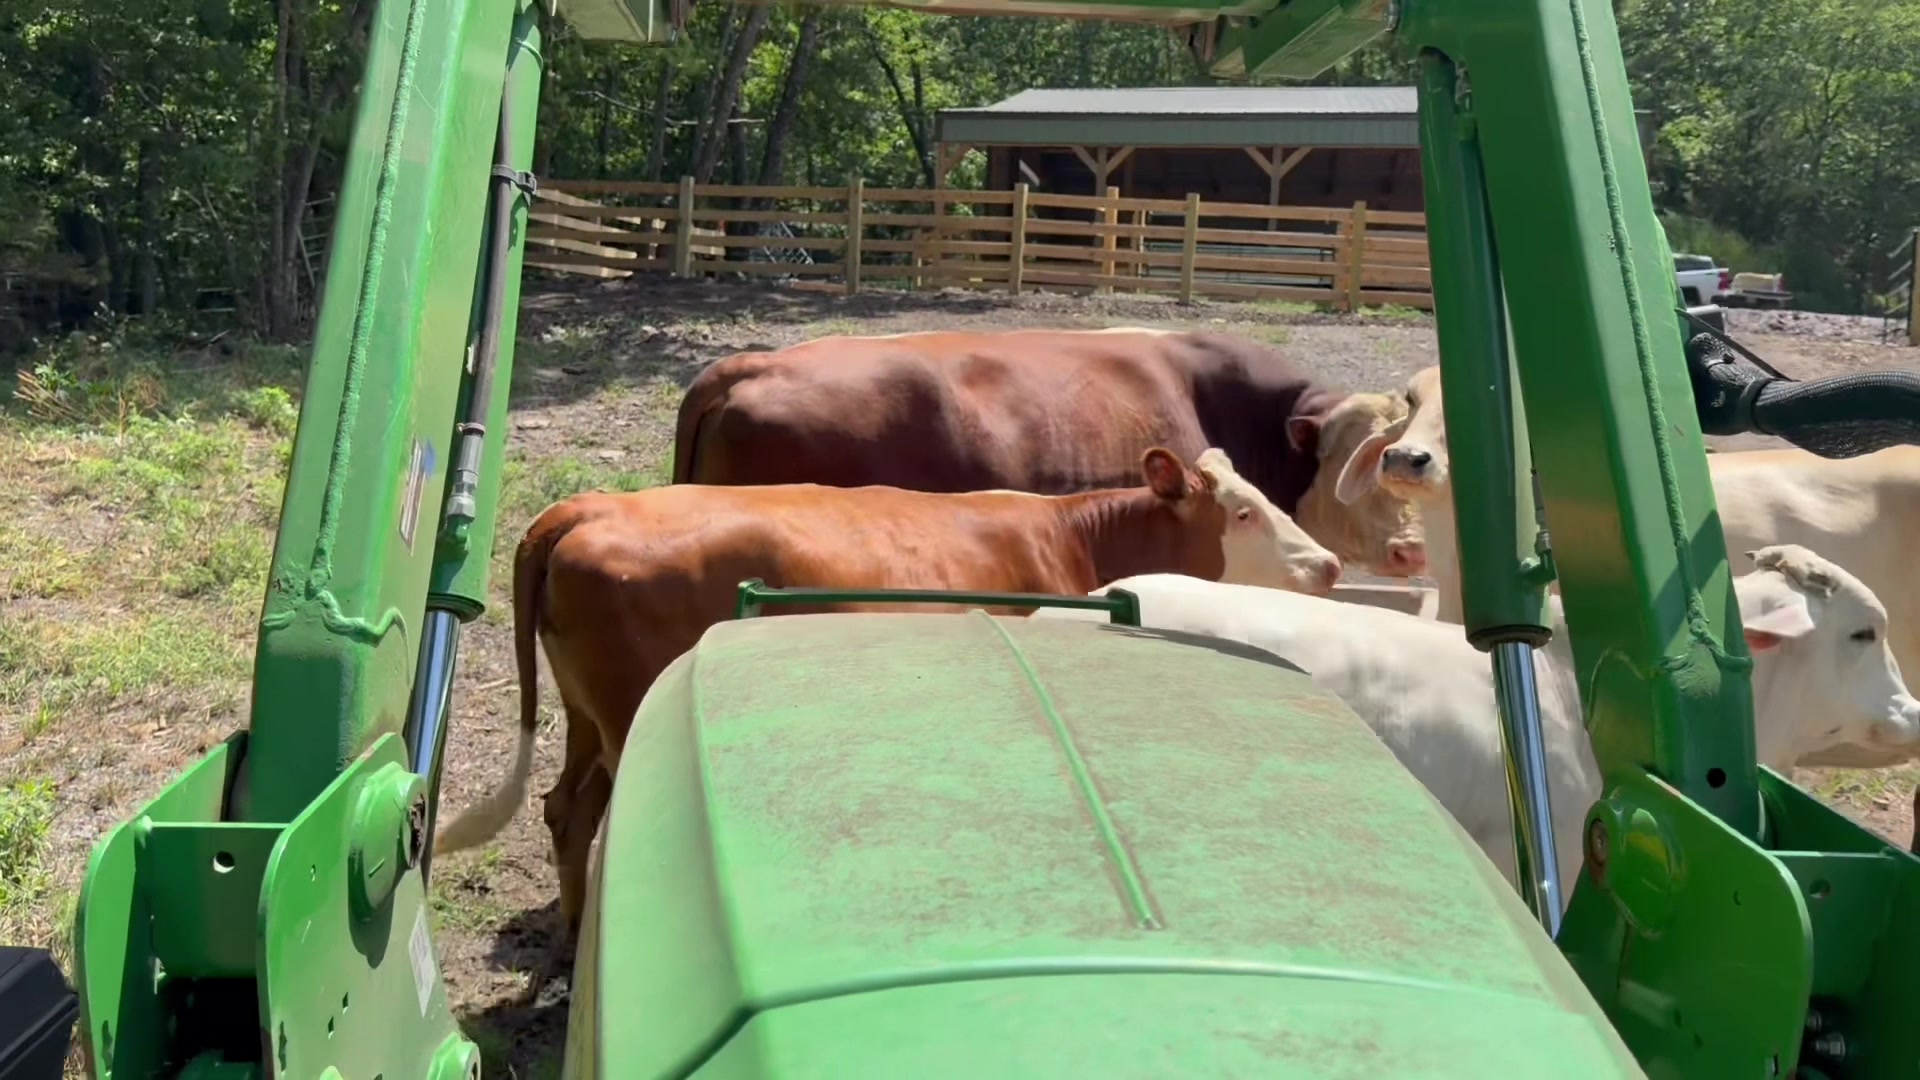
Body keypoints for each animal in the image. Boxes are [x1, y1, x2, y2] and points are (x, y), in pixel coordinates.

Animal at [432, 446, 1340, 968]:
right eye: (1244, 510)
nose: (1329, 565)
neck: (1071, 537)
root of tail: (588, 503)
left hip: (587, 716)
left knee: (566, 809)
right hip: (627, 715)